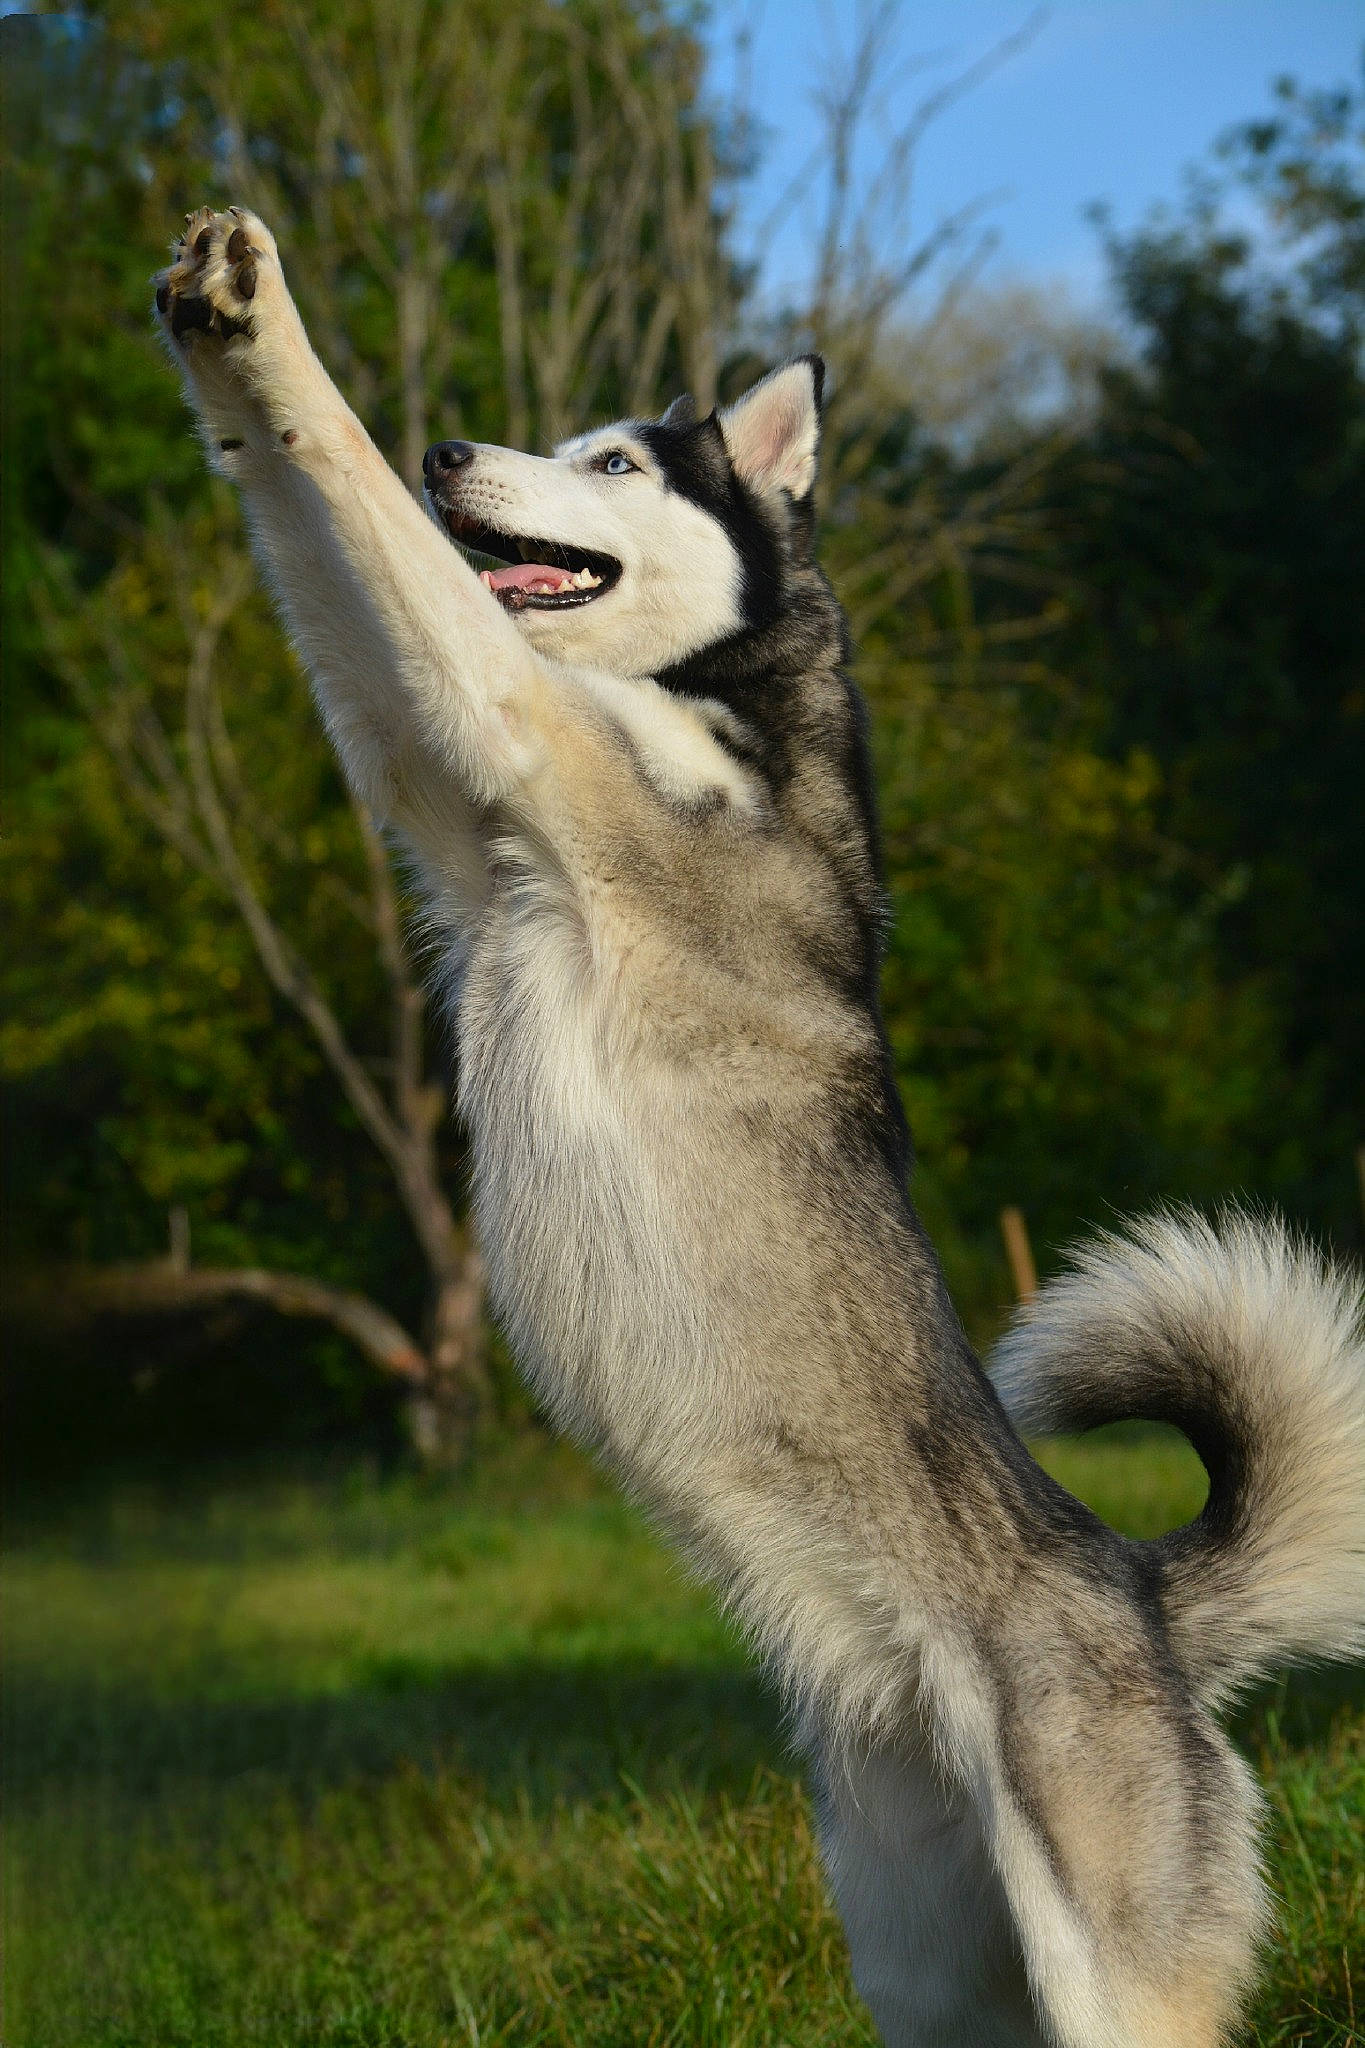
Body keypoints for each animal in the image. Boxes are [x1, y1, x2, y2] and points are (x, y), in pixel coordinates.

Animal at [154, 207, 1365, 2048]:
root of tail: (1144, 1595)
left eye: (613, 460)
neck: (717, 687)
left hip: (1107, 1979)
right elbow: (317, 528)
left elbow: (338, 469)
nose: (452, 455)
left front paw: (264, 326)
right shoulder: (433, 773)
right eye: (555, 436)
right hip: (927, 1968)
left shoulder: (502, 716)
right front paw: (211, 338)